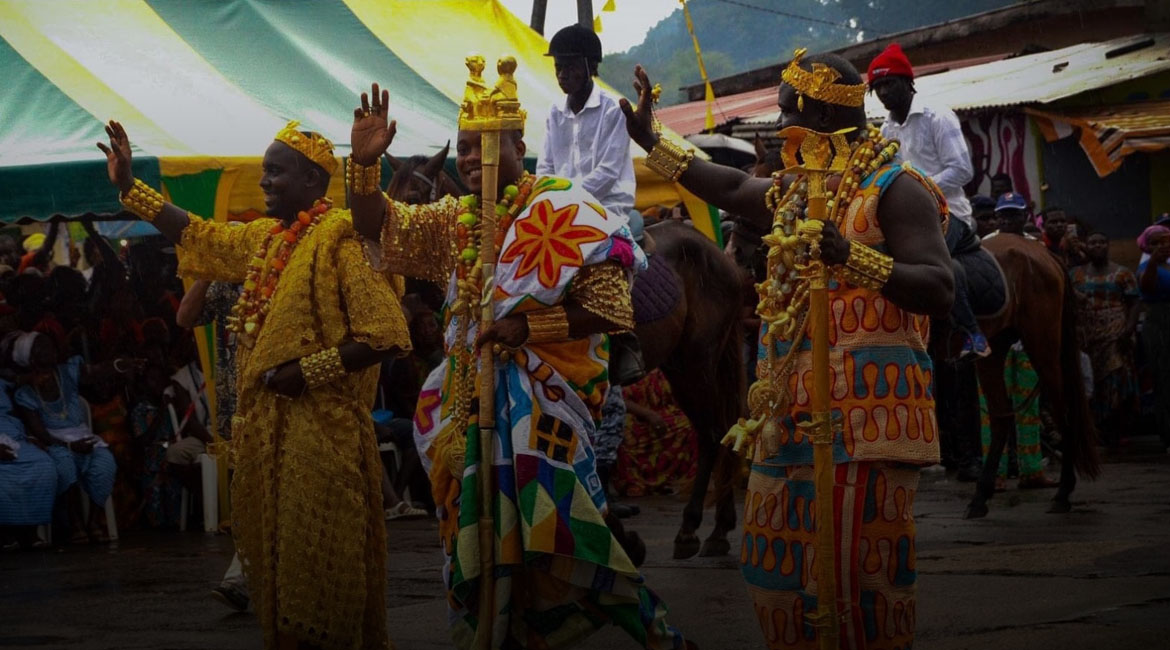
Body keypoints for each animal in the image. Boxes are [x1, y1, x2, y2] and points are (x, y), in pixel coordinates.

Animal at [383, 161, 744, 558]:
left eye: (414, 195)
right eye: (392, 189)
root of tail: (719, 254)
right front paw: (618, 534)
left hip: (698, 362)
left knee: (713, 433)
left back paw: (695, 528)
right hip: (681, 365)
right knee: (721, 429)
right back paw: (718, 528)